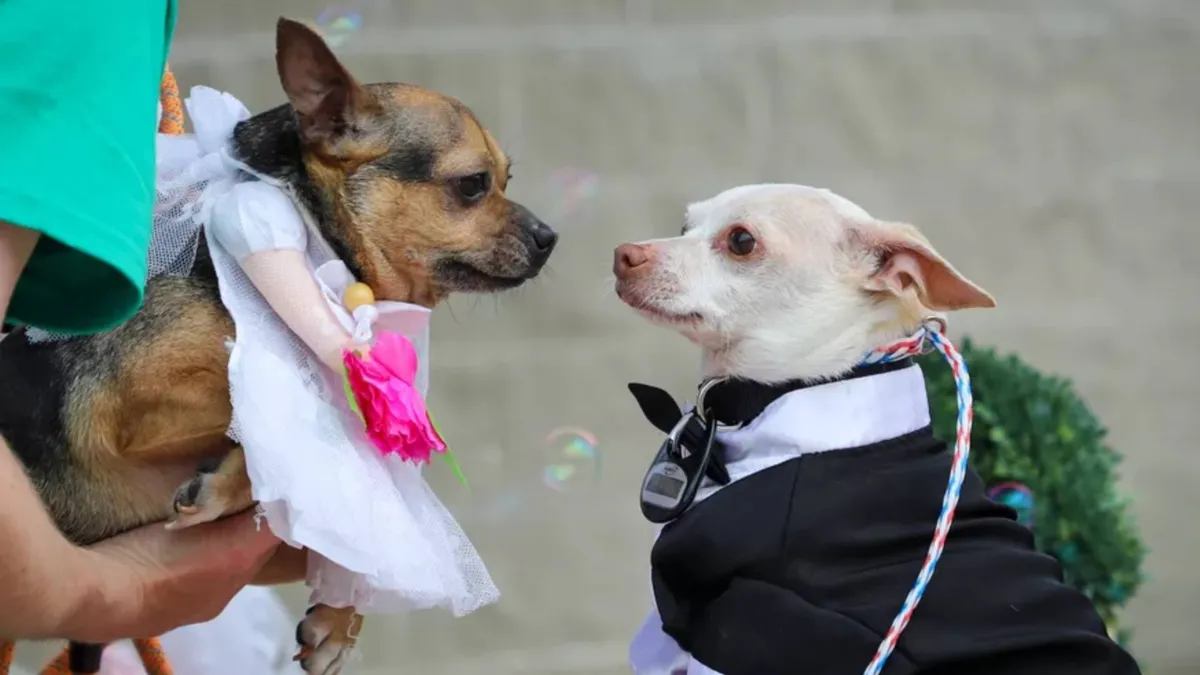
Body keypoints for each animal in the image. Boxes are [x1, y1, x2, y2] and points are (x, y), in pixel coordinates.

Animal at [0, 15, 554, 672]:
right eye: (472, 185)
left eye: (508, 179)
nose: (550, 237)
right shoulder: (131, 405)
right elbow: (279, 399)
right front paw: (232, 485)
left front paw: (339, 618)